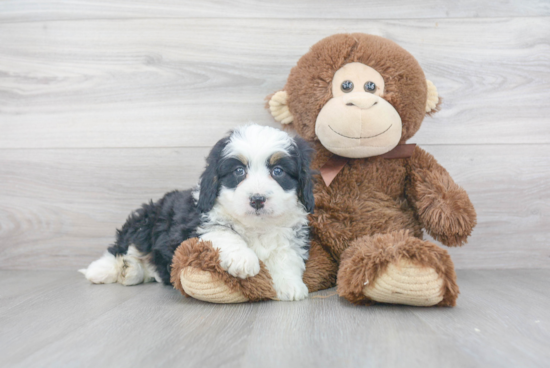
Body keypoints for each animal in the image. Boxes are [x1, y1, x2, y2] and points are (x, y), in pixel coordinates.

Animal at [80, 125, 316, 300]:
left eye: (278, 171)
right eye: (239, 171)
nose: (257, 199)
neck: (256, 226)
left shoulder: (291, 235)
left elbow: (286, 256)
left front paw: (290, 285)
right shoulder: (198, 226)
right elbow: (225, 233)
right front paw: (243, 259)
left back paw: (131, 271)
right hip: (145, 224)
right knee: (122, 248)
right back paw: (103, 270)